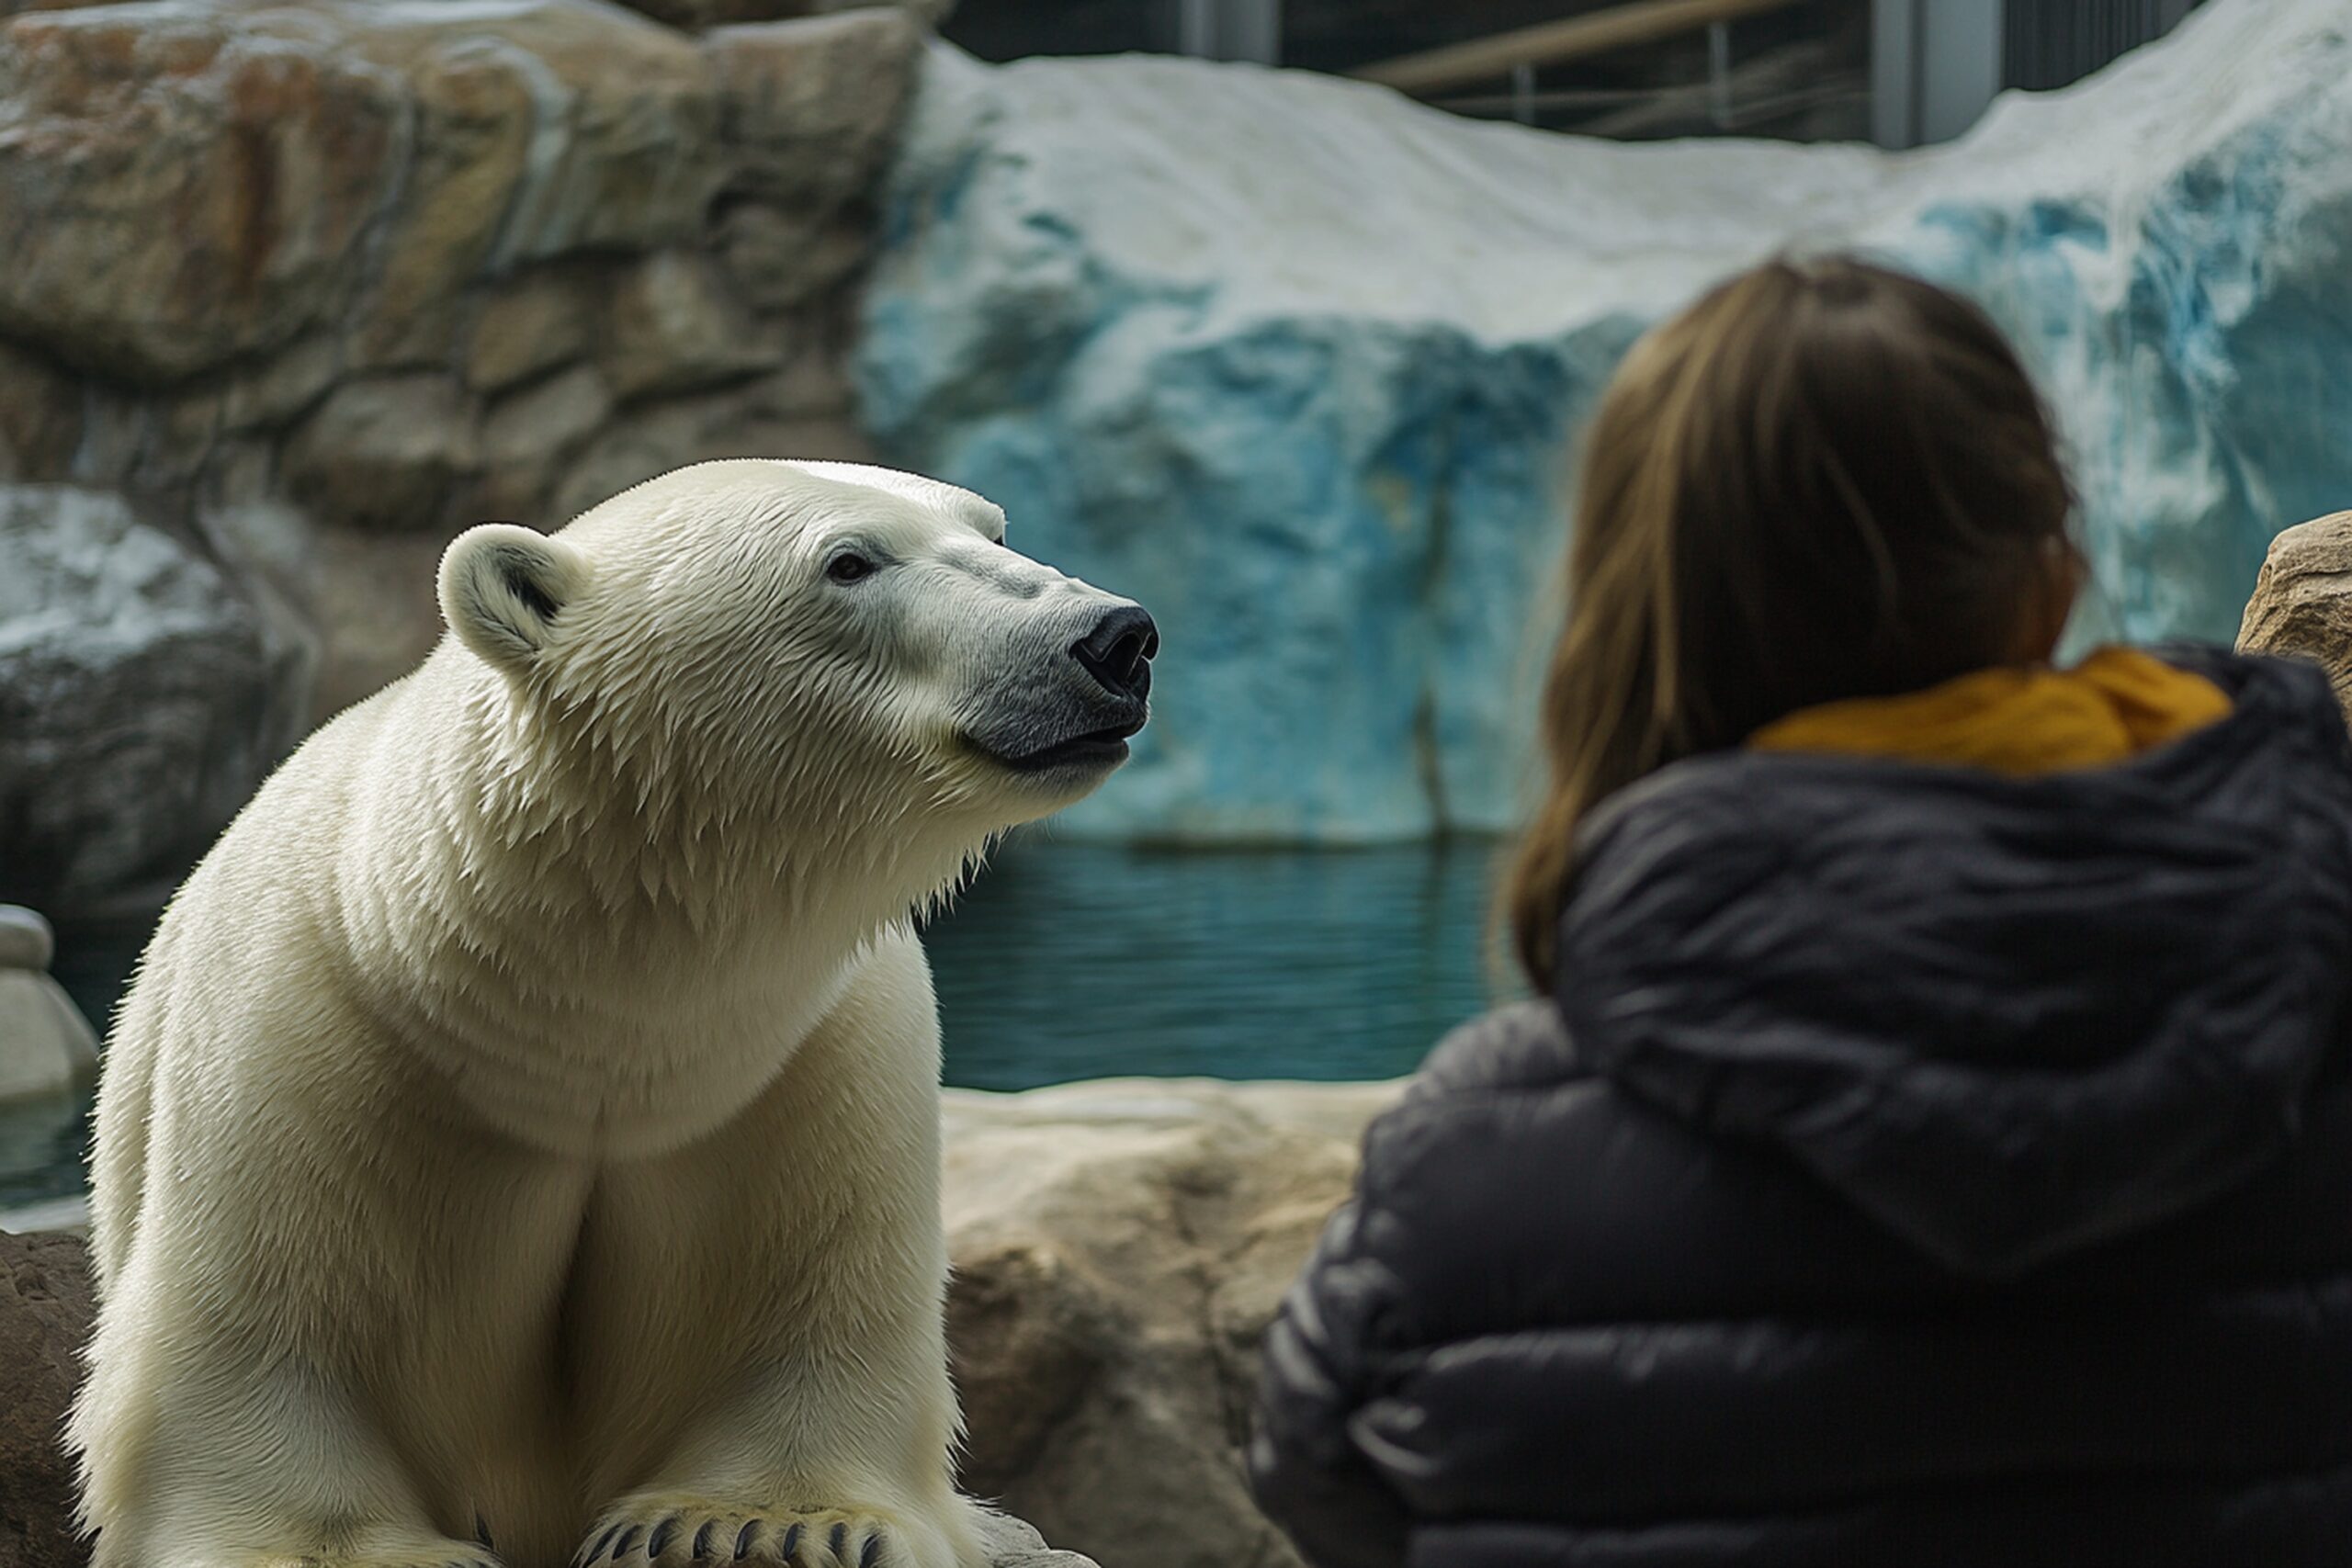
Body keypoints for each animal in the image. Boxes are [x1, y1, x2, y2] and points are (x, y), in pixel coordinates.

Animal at [62, 463, 1148, 1568]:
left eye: (993, 528)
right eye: (848, 562)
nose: (1114, 638)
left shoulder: (808, 1053)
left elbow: (807, 1286)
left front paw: (759, 1525)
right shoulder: (308, 1019)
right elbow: (265, 1308)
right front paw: (341, 1547)